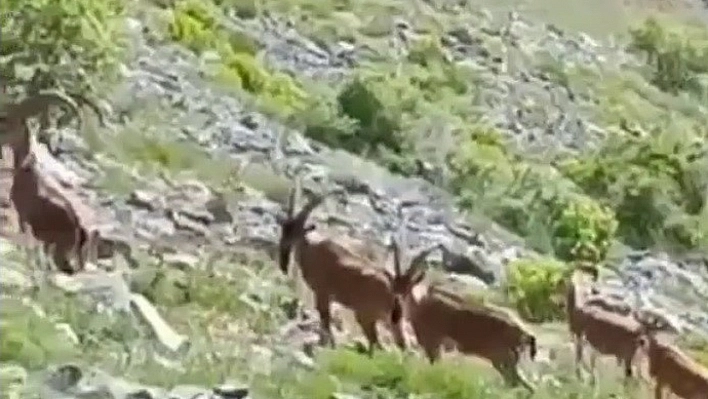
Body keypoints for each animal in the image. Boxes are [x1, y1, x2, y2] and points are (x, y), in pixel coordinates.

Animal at [276, 177, 410, 354]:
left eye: (296, 230)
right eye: (284, 228)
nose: (283, 251)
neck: (312, 250)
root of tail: (394, 292)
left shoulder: (322, 293)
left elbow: (325, 318)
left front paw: (325, 344)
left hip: (367, 316)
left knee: (377, 343)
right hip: (391, 321)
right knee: (398, 343)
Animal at [388, 239, 536, 392]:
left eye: (407, 286)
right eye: (394, 284)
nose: (397, 301)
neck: (421, 307)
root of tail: (523, 334)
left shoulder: (433, 343)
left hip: (503, 358)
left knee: (516, 383)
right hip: (503, 360)